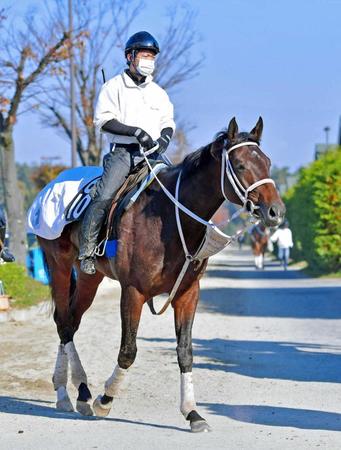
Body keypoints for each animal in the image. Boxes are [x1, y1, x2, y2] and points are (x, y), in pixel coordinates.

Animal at [37, 117, 284, 432]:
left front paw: (193, 413)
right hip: (58, 263)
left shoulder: (188, 294)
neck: (167, 218)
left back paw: (76, 393)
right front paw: (105, 400)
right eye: (240, 165)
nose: (275, 211)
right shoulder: (133, 292)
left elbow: (186, 352)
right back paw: (68, 393)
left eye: (267, 162)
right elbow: (128, 350)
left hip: (89, 276)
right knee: (63, 323)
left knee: (71, 320)